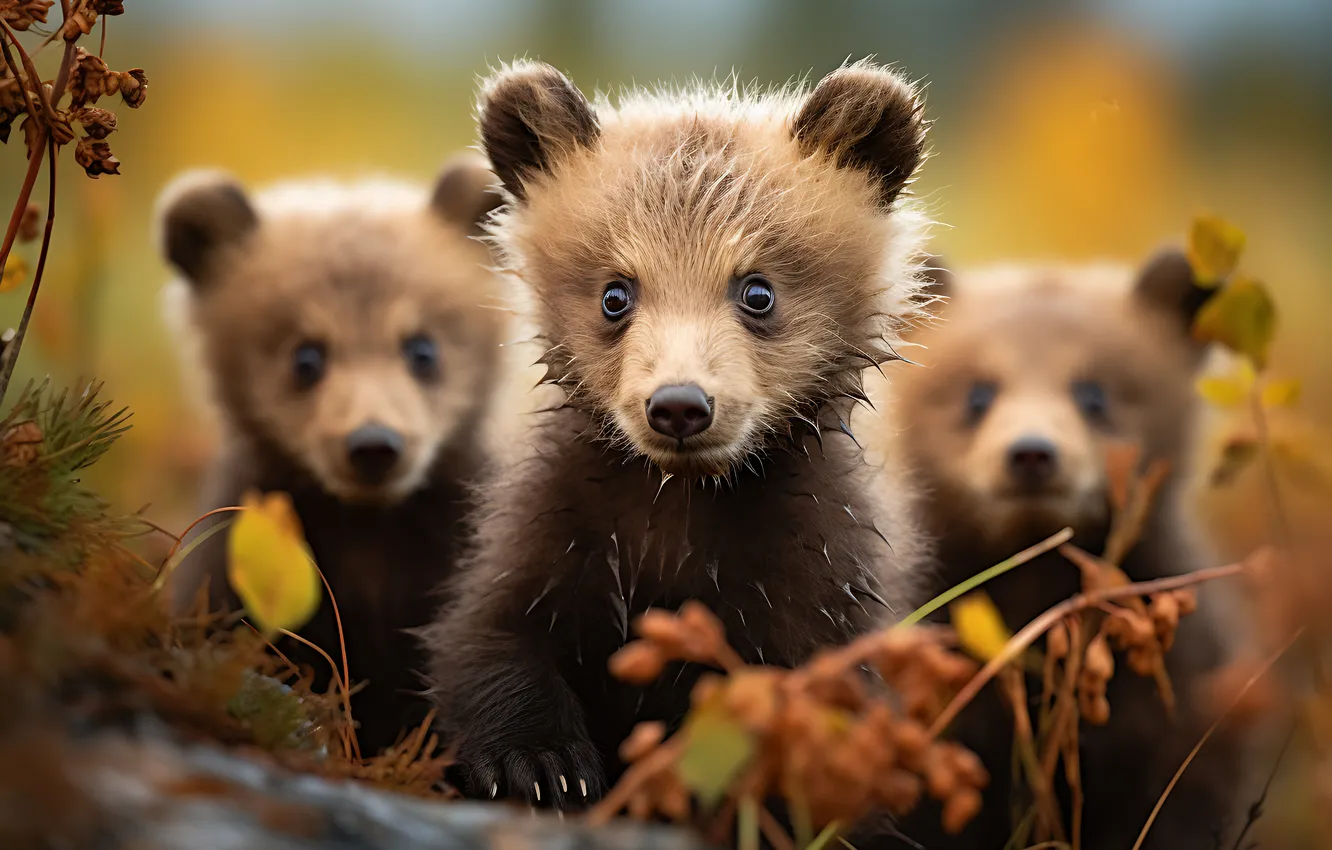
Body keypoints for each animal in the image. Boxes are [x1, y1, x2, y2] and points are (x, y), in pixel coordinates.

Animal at [420, 58, 938, 810]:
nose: (680, 405)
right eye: (616, 293)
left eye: (757, 290)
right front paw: (542, 763)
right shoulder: (552, 530)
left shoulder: (820, 578)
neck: (682, 509)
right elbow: (484, 640)